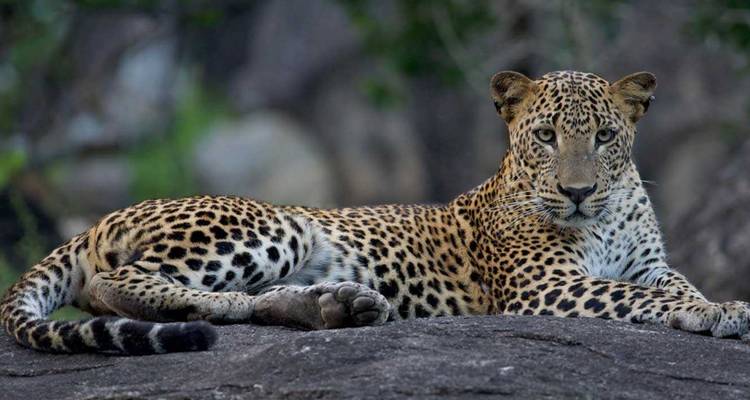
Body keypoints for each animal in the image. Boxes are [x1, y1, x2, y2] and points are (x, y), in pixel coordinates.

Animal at [2, 70, 749, 355]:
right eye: (544, 136)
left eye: (603, 136)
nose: (576, 192)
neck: (606, 215)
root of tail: (99, 220)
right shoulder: (545, 287)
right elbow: (633, 298)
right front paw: (721, 313)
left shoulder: (651, 264)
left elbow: (672, 286)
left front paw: (717, 305)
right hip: (272, 224)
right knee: (115, 284)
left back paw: (337, 306)